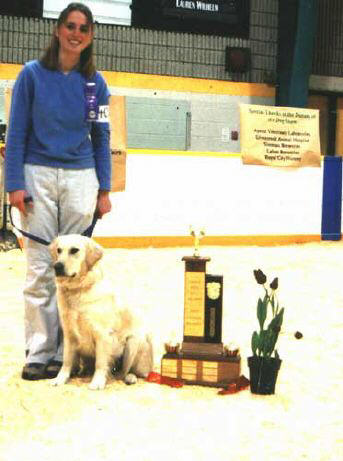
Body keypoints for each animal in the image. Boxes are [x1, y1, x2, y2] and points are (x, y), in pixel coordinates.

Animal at [49, 234, 153, 388]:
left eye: (74, 250)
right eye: (59, 250)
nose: (57, 266)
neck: (78, 289)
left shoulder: (102, 334)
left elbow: (100, 363)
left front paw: (97, 382)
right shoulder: (69, 334)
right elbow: (66, 361)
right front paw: (59, 379)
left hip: (133, 342)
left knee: (131, 372)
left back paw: (128, 377)